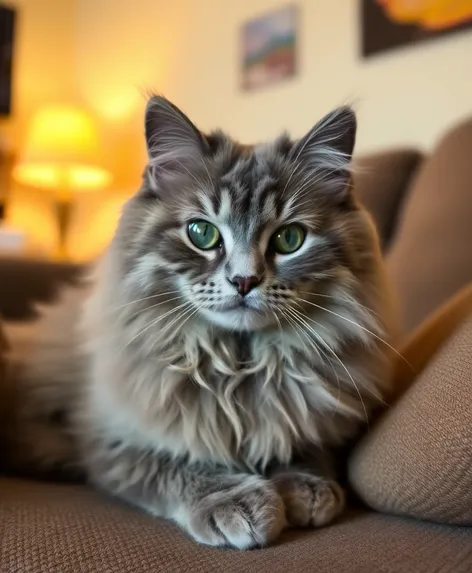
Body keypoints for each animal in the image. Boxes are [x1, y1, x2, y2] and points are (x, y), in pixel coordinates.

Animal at [1, 96, 396, 548]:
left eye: (289, 239)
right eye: (201, 233)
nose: (244, 280)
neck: (239, 365)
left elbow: (299, 443)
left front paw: (306, 486)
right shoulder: (110, 439)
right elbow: (177, 463)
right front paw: (236, 501)